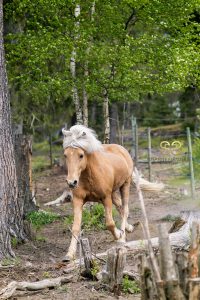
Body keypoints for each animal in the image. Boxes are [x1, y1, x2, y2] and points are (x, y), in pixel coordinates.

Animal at [62, 124, 162, 260]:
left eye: (81, 155)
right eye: (65, 155)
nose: (71, 182)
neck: (89, 175)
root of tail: (122, 149)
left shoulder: (106, 198)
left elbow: (109, 223)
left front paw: (119, 236)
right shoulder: (78, 200)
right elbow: (75, 227)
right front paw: (69, 254)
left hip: (125, 185)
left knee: (125, 209)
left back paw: (123, 237)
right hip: (114, 192)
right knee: (121, 207)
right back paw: (128, 229)